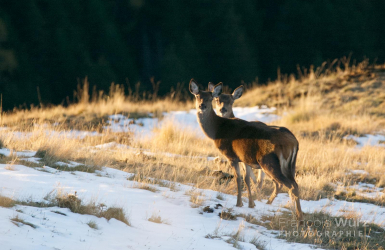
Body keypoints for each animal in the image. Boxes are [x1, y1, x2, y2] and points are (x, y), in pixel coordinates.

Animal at [189, 78, 304, 221]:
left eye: (210, 98)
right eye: (197, 96)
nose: (202, 106)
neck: (217, 131)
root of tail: (294, 142)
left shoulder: (231, 156)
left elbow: (238, 178)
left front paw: (239, 203)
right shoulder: (245, 158)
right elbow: (247, 179)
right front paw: (251, 204)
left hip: (269, 162)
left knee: (289, 185)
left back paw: (299, 218)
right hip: (290, 166)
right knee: (294, 184)